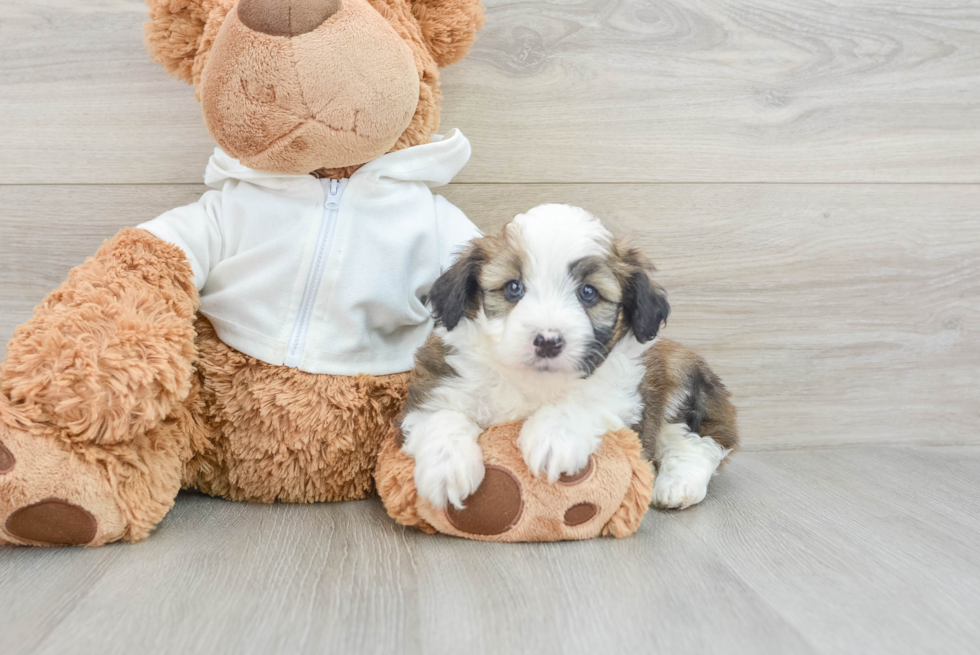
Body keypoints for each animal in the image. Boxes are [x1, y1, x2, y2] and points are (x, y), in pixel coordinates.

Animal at [398, 205, 736, 512]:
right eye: (513, 288)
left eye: (588, 292)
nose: (548, 341)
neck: (533, 382)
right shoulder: (439, 383)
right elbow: (442, 415)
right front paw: (446, 467)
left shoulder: (625, 393)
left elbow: (587, 400)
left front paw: (553, 438)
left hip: (681, 378)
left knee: (700, 443)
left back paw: (676, 485)